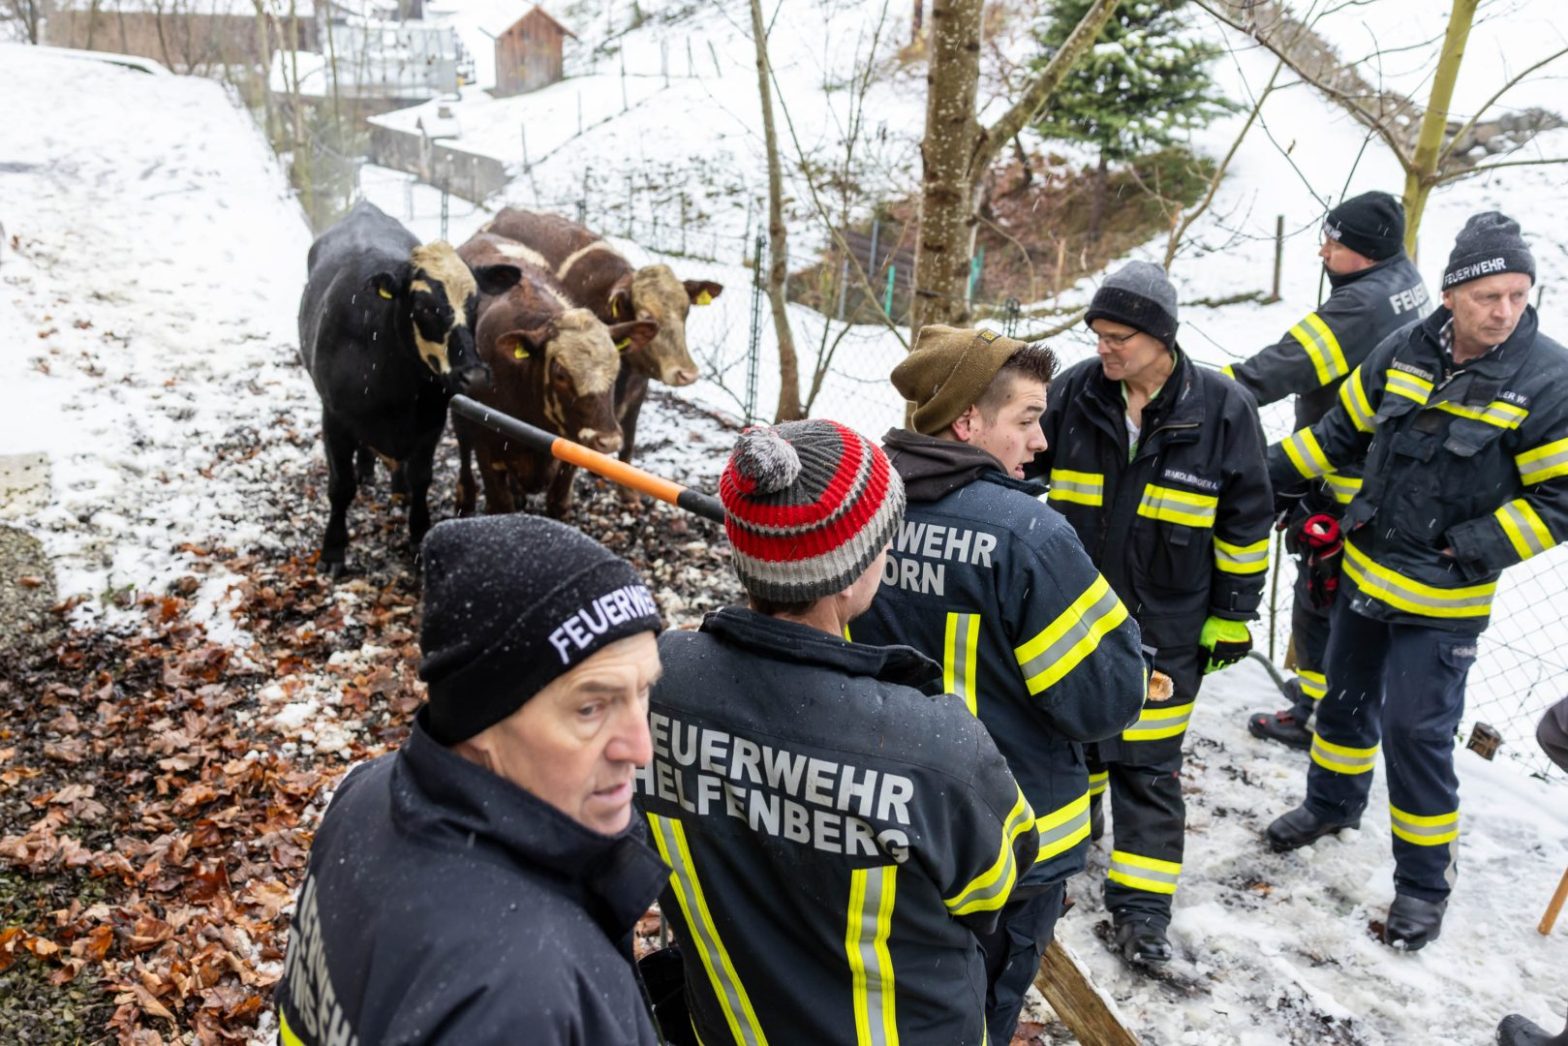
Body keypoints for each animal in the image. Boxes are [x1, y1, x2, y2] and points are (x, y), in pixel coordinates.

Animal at [298, 200, 521, 576]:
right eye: (424, 306)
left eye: (475, 303)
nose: (474, 376)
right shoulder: (335, 417)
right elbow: (340, 486)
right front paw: (333, 550)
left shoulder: (430, 421)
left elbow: (421, 478)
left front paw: (418, 534)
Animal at [453, 233, 657, 518]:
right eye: (560, 374)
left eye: (616, 369)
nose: (607, 441)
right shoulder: (486, 445)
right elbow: (500, 504)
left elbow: (558, 503)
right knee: (462, 444)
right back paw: (465, 497)